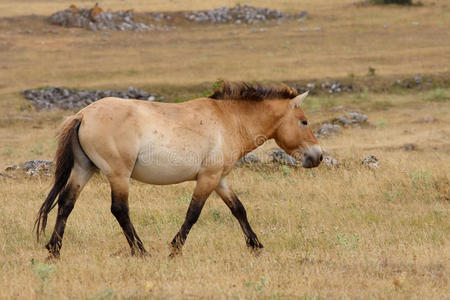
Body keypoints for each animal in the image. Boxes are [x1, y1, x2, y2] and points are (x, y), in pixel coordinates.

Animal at [35, 81, 324, 258]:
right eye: (304, 121)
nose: (318, 156)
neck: (229, 120)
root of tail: (82, 115)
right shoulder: (207, 178)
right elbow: (193, 213)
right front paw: (175, 249)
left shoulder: (219, 179)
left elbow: (238, 209)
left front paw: (256, 246)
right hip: (118, 175)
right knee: (119, 210)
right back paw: (141, 251)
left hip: (84, 169)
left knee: (66, 203)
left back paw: (54, 250)